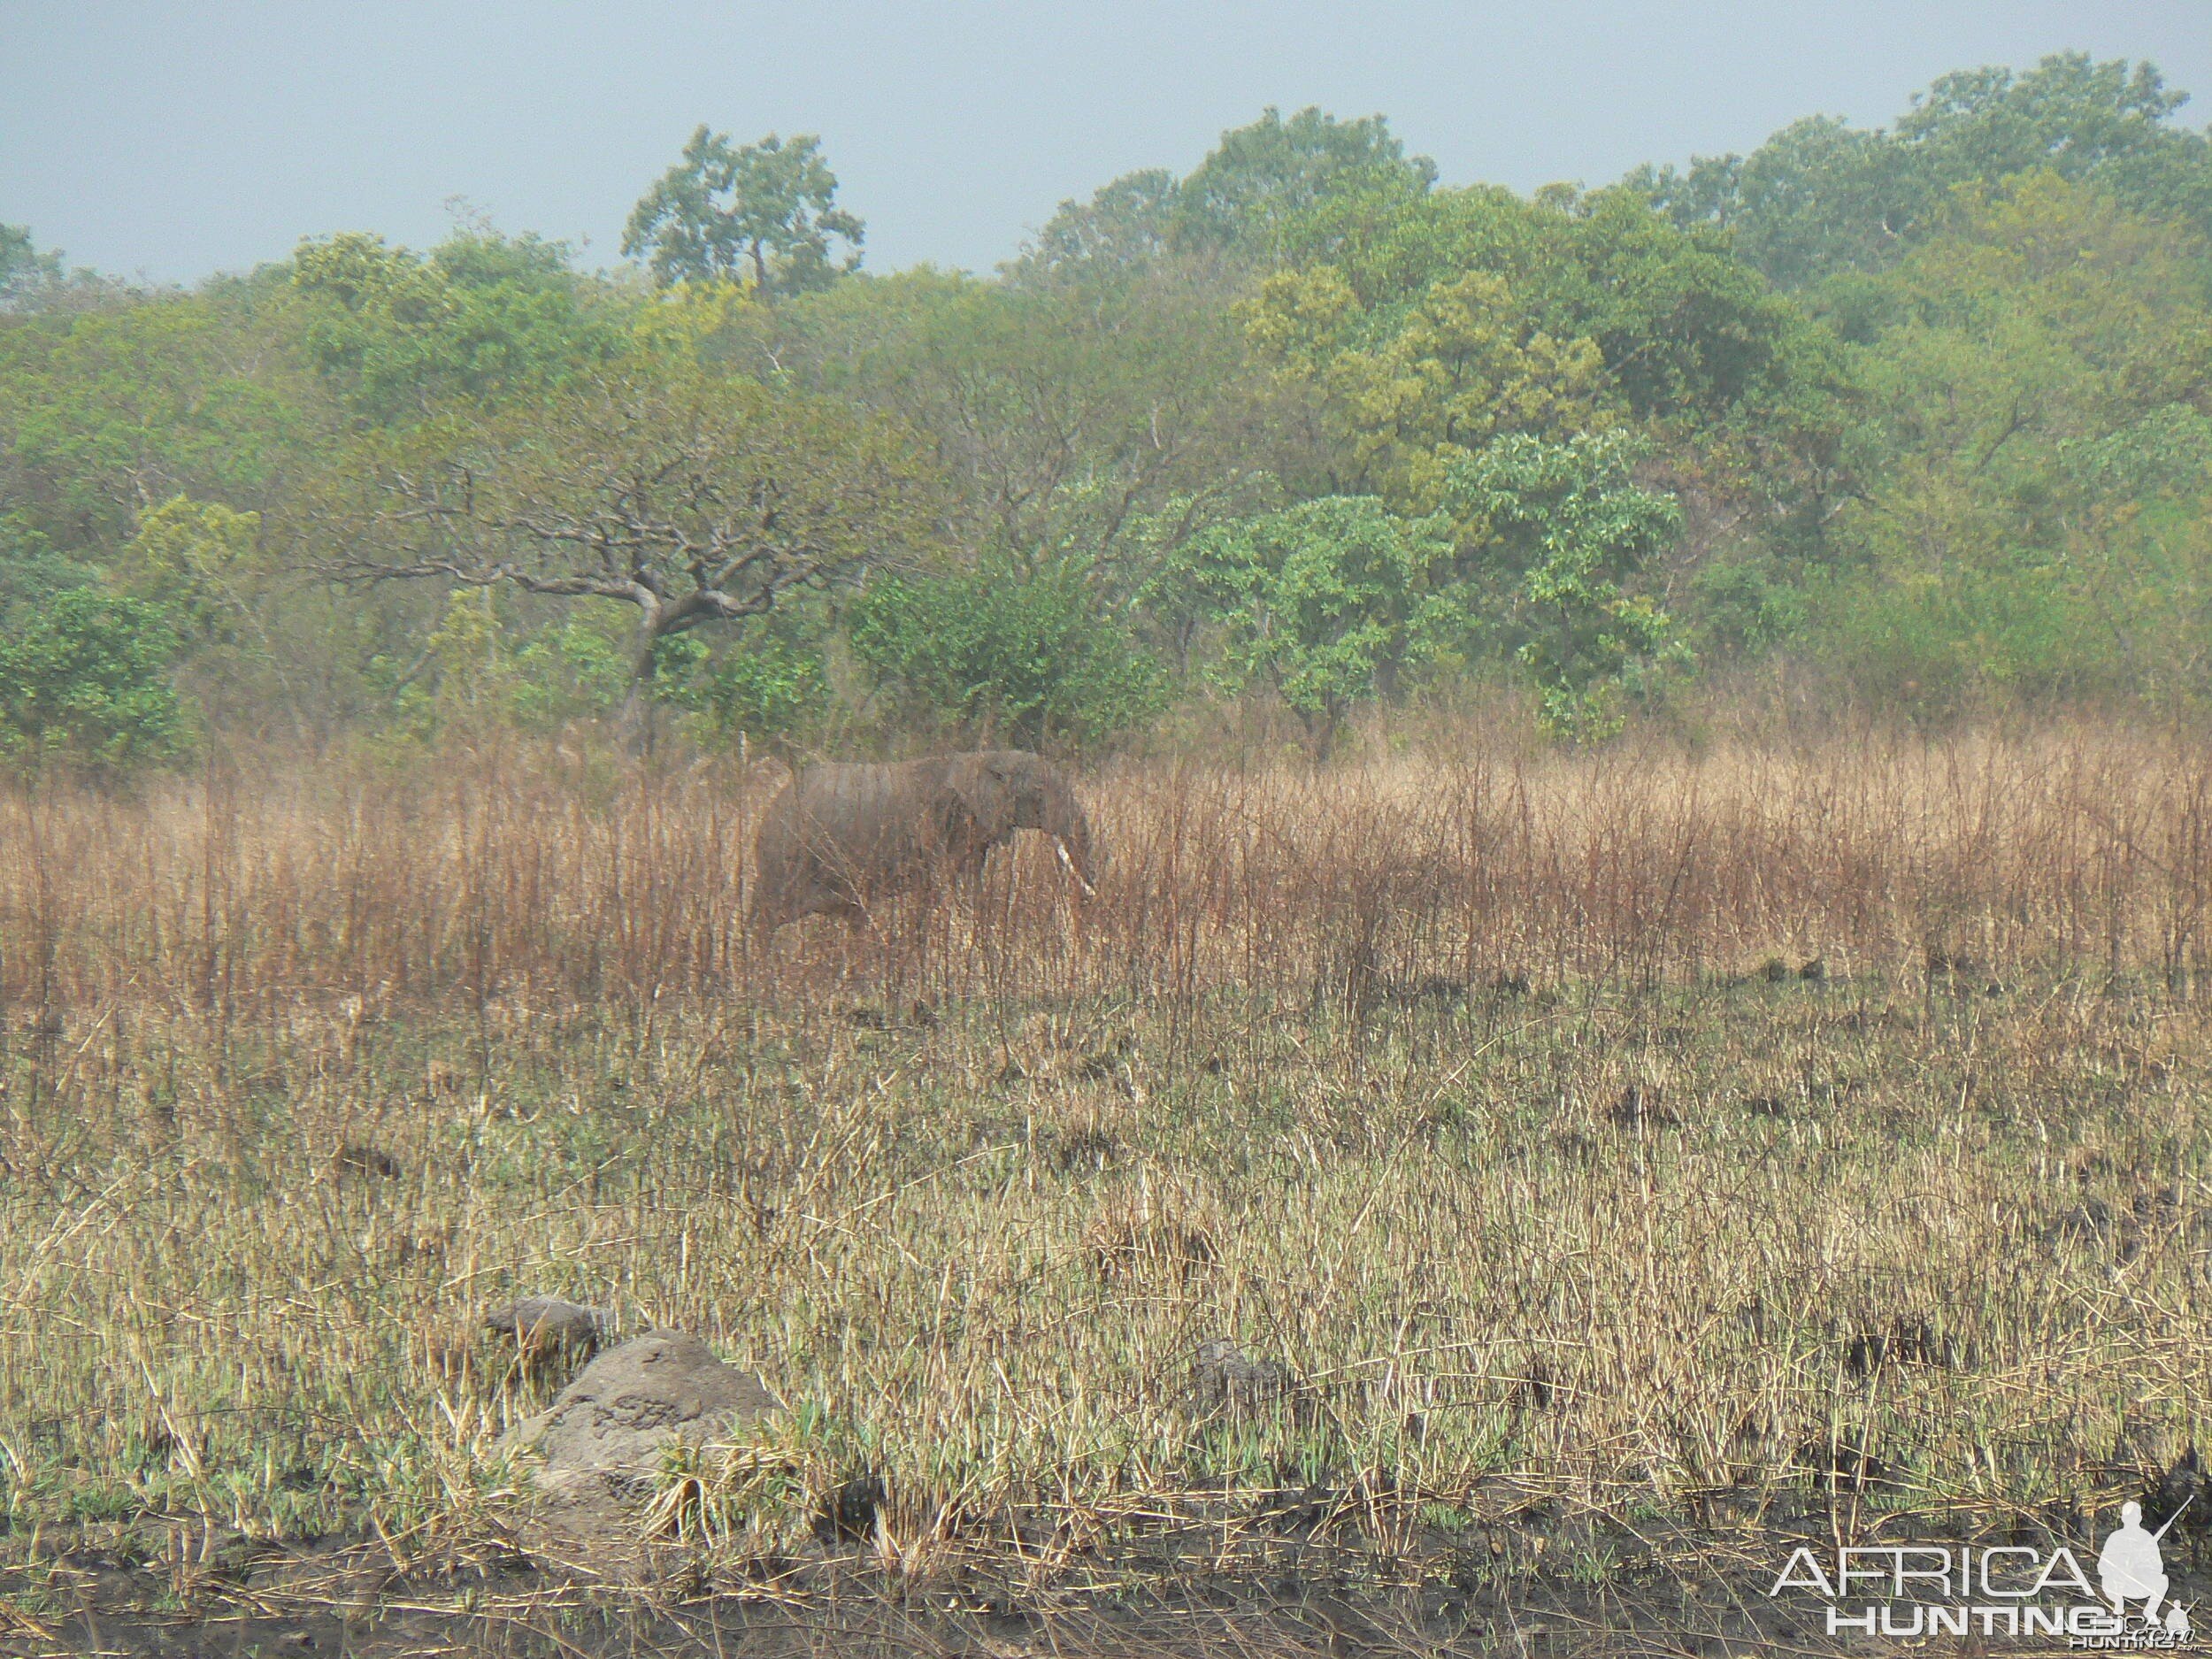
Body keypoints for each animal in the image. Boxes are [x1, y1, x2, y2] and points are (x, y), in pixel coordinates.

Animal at [752, 752, 1097, 938]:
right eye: (1039, 791)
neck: (983, 757)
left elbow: (971, 886)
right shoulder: (937, 825)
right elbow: (946, 888)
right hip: (783, 862)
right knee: (765, 919)